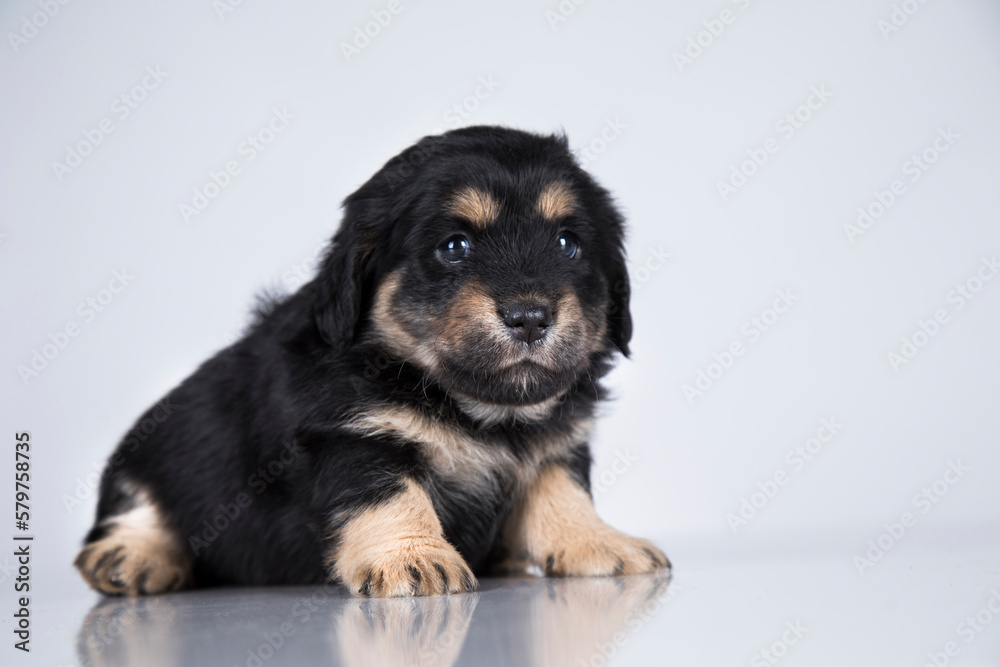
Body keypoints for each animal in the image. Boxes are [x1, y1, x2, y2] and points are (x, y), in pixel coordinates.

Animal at [76, 125, 672, 600]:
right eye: (454, 247)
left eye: (569, 244)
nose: (530, 318)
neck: (470, 406)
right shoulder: (356, 437)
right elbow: (392, 496)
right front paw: (413, 556)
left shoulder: (553, 447)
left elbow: (561, 496)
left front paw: (599, 542)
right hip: (154, 447)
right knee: (139, 508)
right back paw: (129, 556)